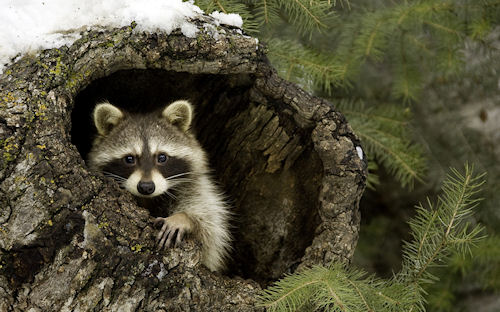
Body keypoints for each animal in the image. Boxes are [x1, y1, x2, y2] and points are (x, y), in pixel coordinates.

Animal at [87, 99, 231, 270]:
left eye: (162, 157)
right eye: (129, 159)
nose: (146, 187)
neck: (148, 199)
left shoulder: (196, 186)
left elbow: (211, 229)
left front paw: (184, 218)